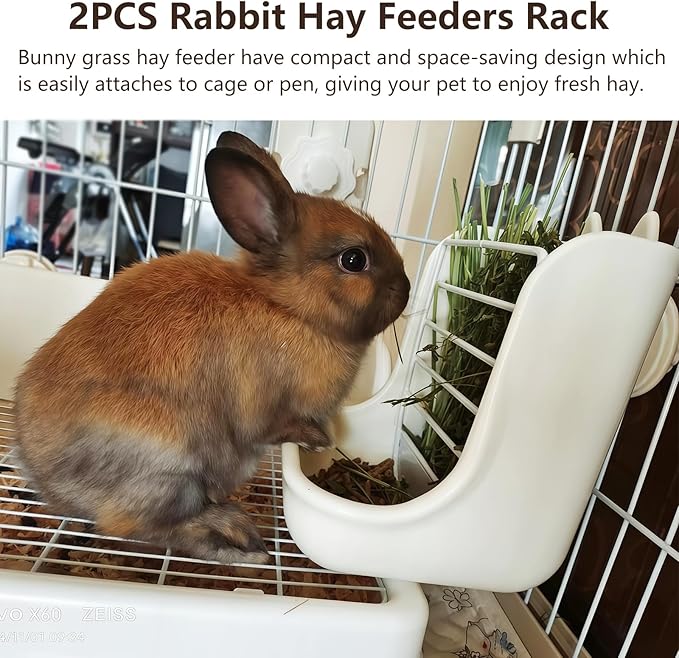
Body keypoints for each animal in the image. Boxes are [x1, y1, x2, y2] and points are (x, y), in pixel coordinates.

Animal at [14, 131, 411, 565]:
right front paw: (317, 438)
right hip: (171, 465)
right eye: (354, 259)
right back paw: (241, 545)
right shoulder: (265, 408)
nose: (406, 288)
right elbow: (273, 426)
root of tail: (46, 477)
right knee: (146, 527)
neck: (289, 309)